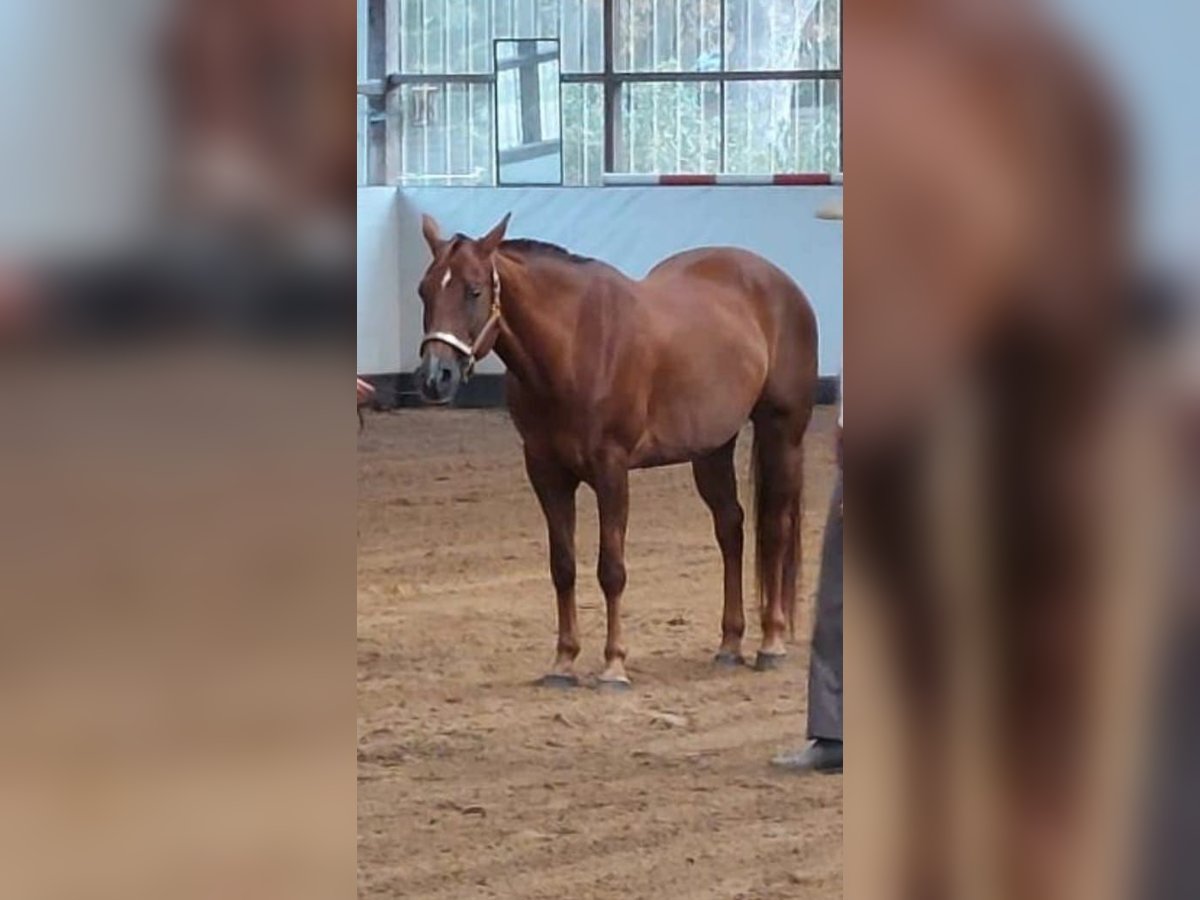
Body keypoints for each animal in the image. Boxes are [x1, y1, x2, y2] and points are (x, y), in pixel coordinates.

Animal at [412, 214, 816, 686]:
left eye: (474, 290)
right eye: (424, 289)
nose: (434, 377)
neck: (574, 346)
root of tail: (781, 283)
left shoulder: (611, 469)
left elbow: (612, 569)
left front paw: (614, 665)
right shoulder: (546, 472)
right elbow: (563, 566)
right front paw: (563, 662)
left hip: (782, 431)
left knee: (774, 529)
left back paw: (772, 642)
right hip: (712, 448)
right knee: (731, 528)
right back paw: (730, 645)